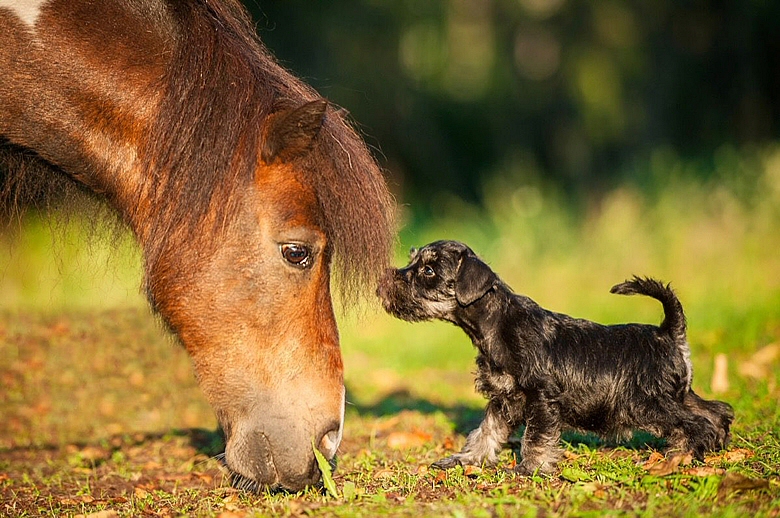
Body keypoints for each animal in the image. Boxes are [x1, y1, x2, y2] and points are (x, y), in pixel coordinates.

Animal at [376, 242, 732, 478]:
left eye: (429, 270)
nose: (382, 284)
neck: (496, 324)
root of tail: (668, 332)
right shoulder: (503, 398)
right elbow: (486, 431)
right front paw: (465, 460)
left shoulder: (541, 397)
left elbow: (535, 437)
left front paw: (529, 468)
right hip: (678, 394)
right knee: (717, 411)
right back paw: (714, 447)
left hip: (645, 402)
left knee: (695, 423)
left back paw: (681, 457)